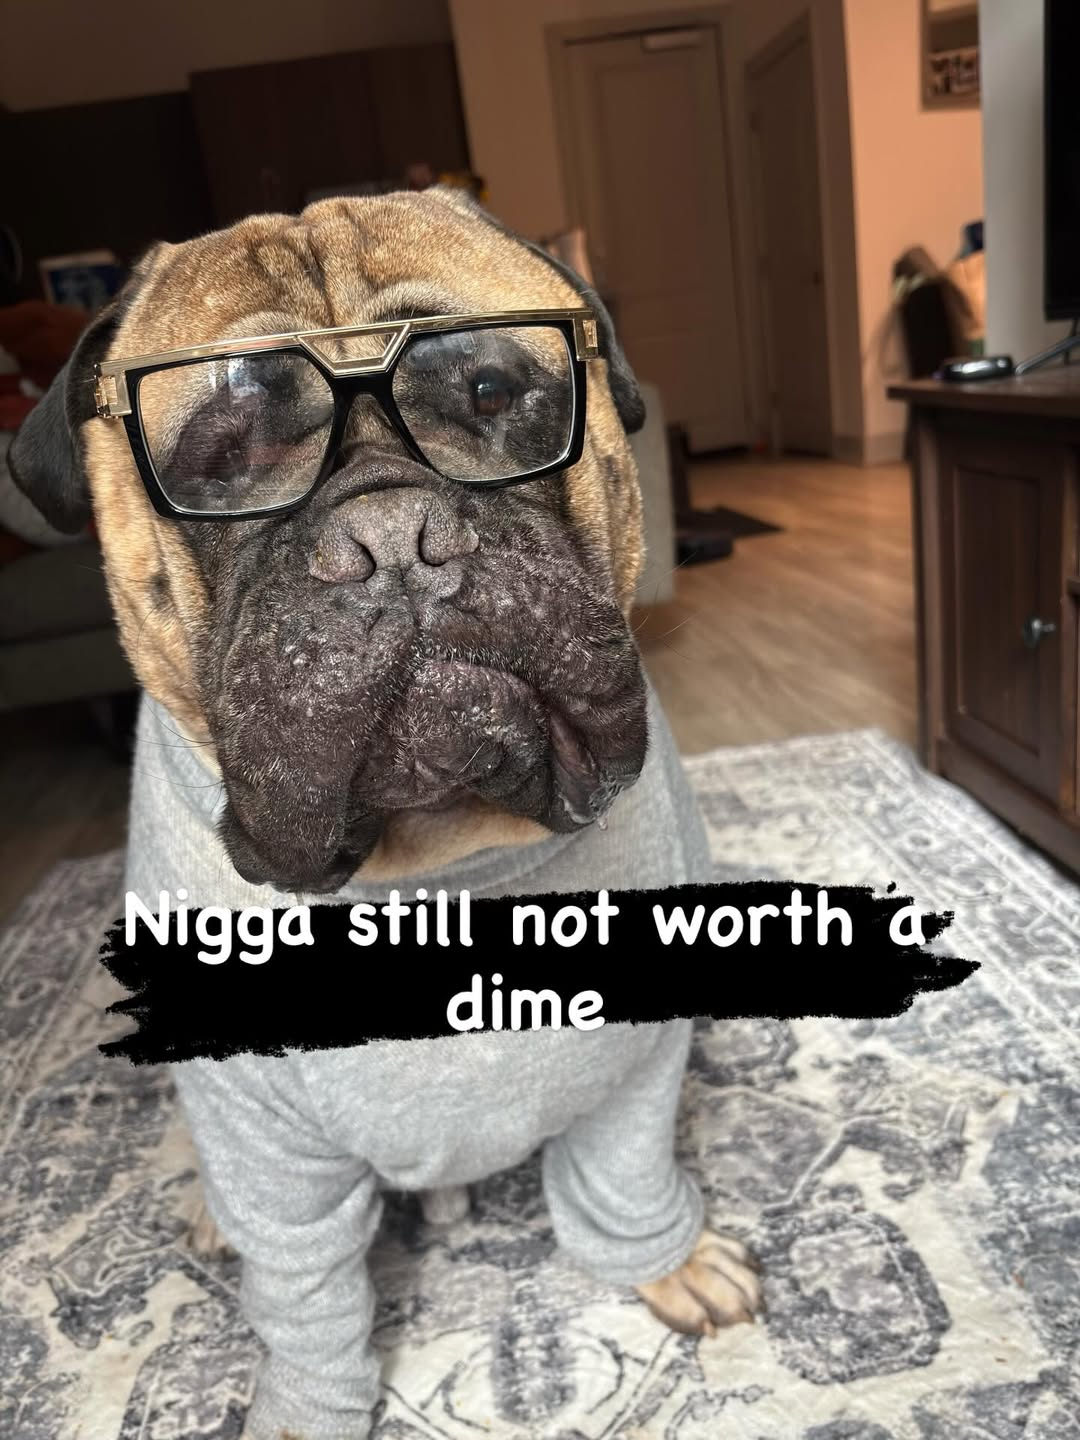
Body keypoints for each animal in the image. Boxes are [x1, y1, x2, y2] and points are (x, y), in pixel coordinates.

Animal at [10, 188, 763, 1440]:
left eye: (495, 392)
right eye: (219, 455)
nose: (394, 539)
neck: (433, 864)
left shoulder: (634, 1071)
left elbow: (624, 1174)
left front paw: (666, 1263)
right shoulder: (274, 1166)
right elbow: (309, 1301)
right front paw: (307, 1408)